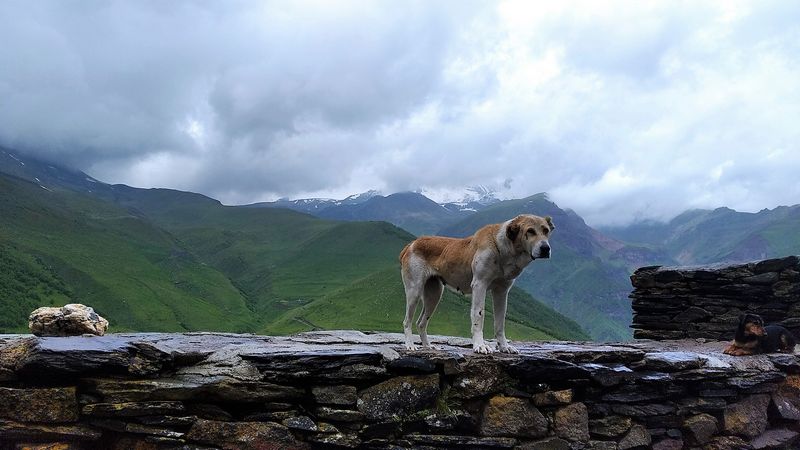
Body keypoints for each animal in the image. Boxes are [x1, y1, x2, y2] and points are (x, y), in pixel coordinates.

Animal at [398, 213, 552, 354]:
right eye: (530, 231)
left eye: (546, 231)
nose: (546, 248)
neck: (502, 248)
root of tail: (412, 244)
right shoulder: (480, 285)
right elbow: (479, 315)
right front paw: (480, 345)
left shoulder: (502, 291)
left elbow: (500, 322)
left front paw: (504, 346)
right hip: (414, 291)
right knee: (407, 321)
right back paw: (410, 345)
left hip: (434, 295)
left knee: (421, 323)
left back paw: (427, 346)